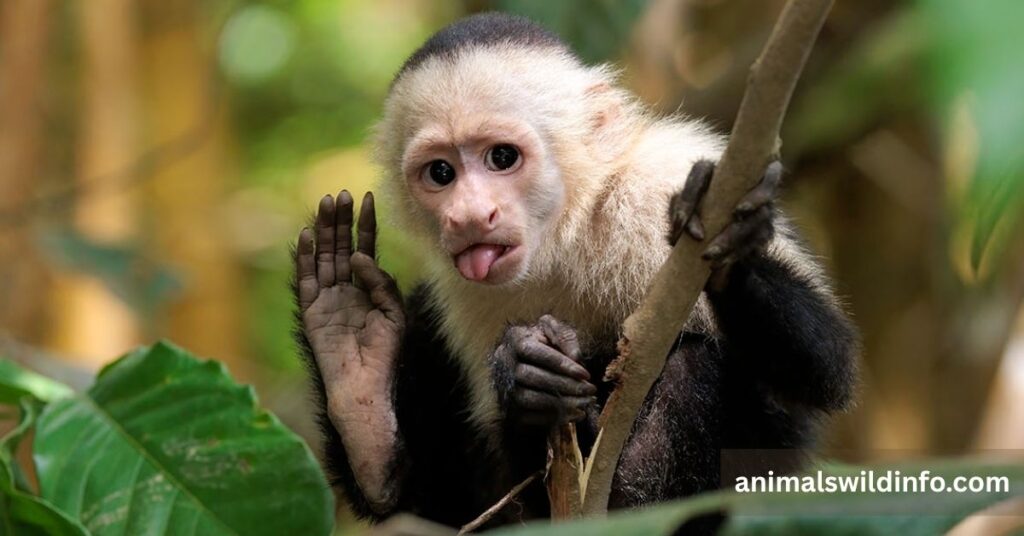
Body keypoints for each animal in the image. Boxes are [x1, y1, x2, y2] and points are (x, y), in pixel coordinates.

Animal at [293, 12, 858, 530]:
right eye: (441, 173)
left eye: (502, 157)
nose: (471, 215)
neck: (563, 239)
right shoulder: (462, 293)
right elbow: (478, 494)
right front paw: (523, 372)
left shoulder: (660, 182)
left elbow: (827, 369)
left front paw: (730, 246)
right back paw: (357, 386)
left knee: (696, 365)